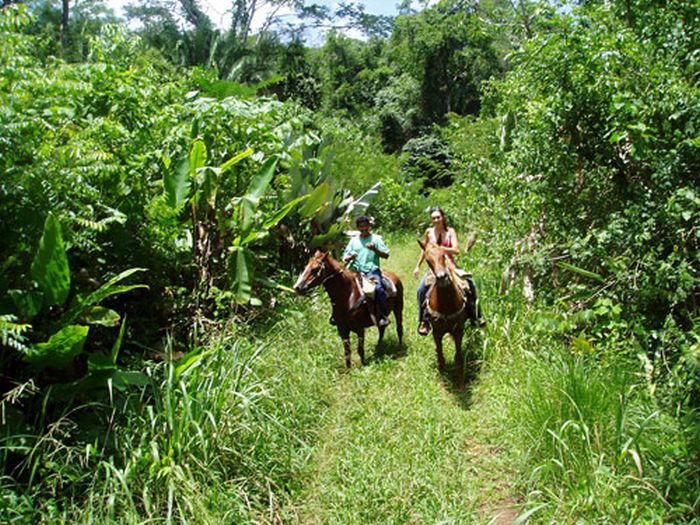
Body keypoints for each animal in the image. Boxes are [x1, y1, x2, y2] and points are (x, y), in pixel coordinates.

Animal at [416, 238, 476, 388]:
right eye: (427, 260)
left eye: (443, 255)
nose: (442, 278)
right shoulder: (437, 332)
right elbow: (441, 356)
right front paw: (443, 382)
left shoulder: (458, 330)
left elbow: (459, 358)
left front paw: (461, 385)